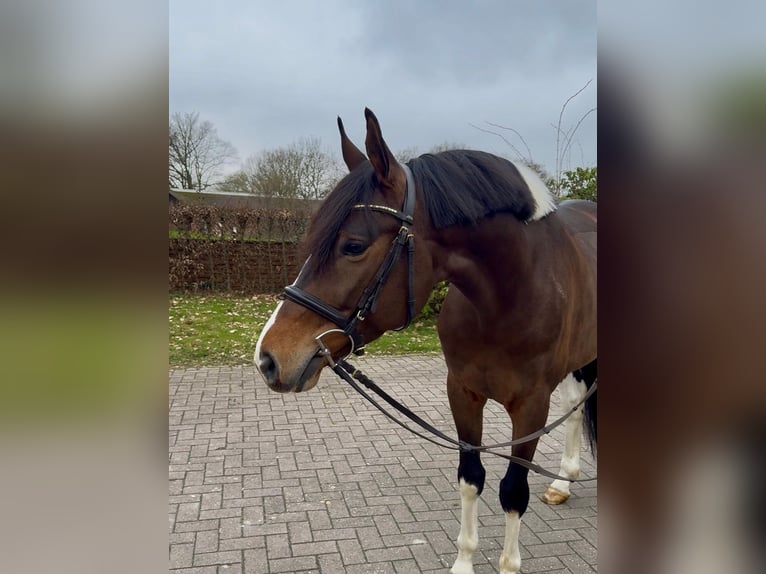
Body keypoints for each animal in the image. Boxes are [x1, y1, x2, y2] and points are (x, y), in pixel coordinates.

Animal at [255, 108, 597, 574]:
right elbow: (471, 478)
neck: (508, 297)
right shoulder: (463, 392)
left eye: (353, 246)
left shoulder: (531, 405)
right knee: (576, 407)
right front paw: (464, 562)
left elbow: (513, 490)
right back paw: (564, 480)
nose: (268, 358)